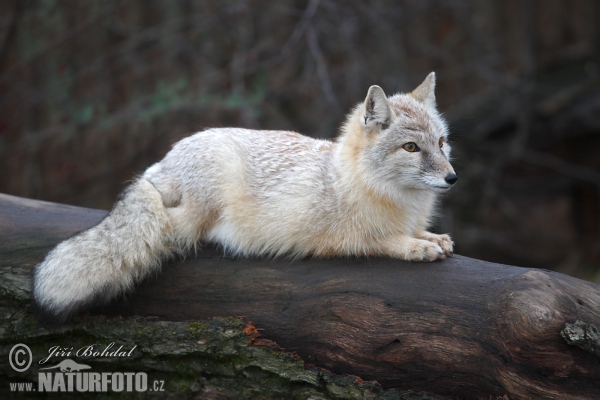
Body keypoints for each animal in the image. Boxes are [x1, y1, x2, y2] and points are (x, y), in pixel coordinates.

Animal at [32, 72, 460, 322]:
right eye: (410, 148)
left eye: (441, 143)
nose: (452, 178)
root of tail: (161, 164)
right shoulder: (338, 236)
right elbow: (380, 240)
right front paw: (413, 246)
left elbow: (418, 233)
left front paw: (430, 237)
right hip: (197, 206)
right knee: (169, 230)